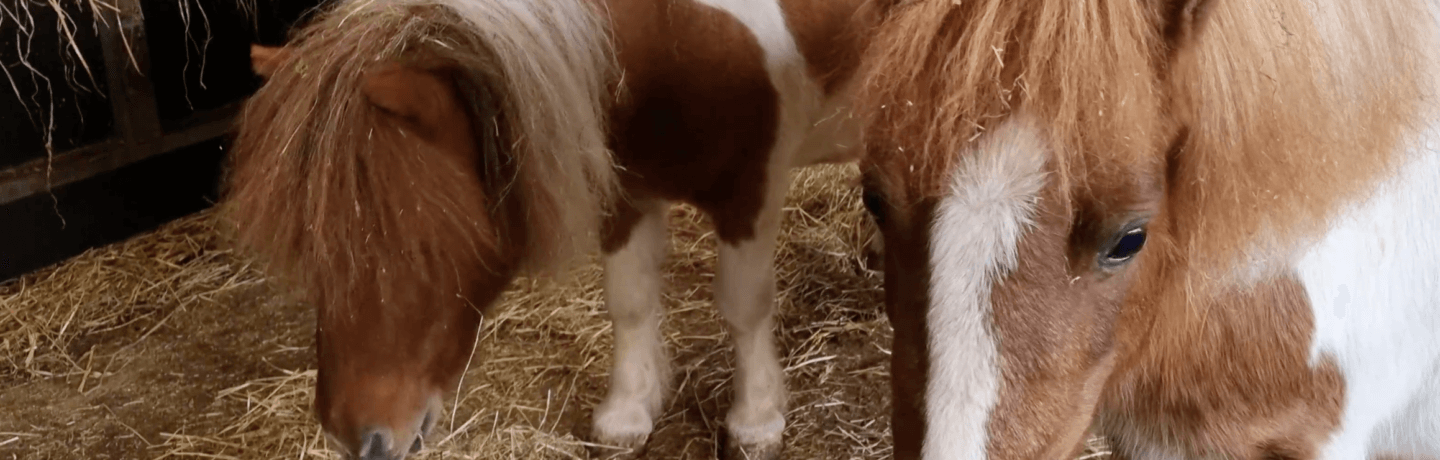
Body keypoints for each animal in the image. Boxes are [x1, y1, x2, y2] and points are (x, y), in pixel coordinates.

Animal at [227, 0, 875, 460]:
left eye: (413, 241)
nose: (354, 436)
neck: (676, 32)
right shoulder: (624, 191)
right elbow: (629, 300)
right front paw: (628, 413)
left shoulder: (750, 192)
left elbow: (744, 306)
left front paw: (755, 421)